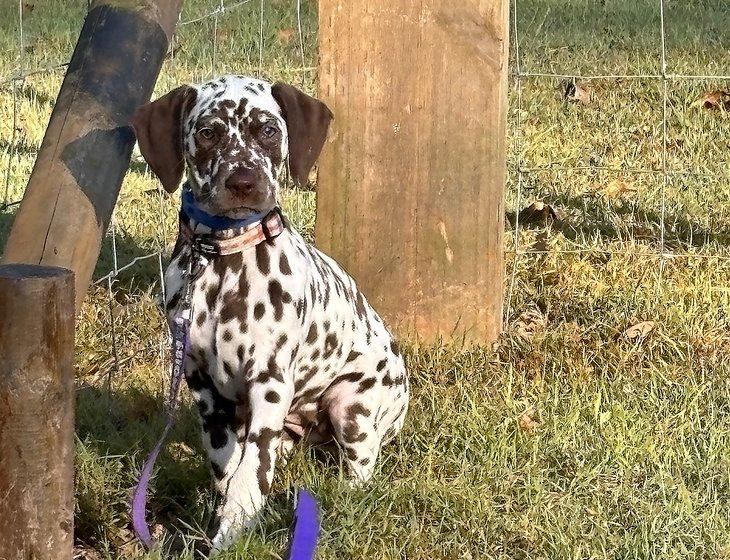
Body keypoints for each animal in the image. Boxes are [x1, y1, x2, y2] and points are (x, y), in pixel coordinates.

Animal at [129, 75, 404, 552]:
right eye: (208, 132)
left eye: (269, 131)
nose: (243, 181)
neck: (224, 263)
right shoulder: (202, 385)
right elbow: (226, 462)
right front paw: (225, 515)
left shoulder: (269, 383)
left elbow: (250, 472)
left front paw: (231, 530)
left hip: (353, 407)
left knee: (361, 466)